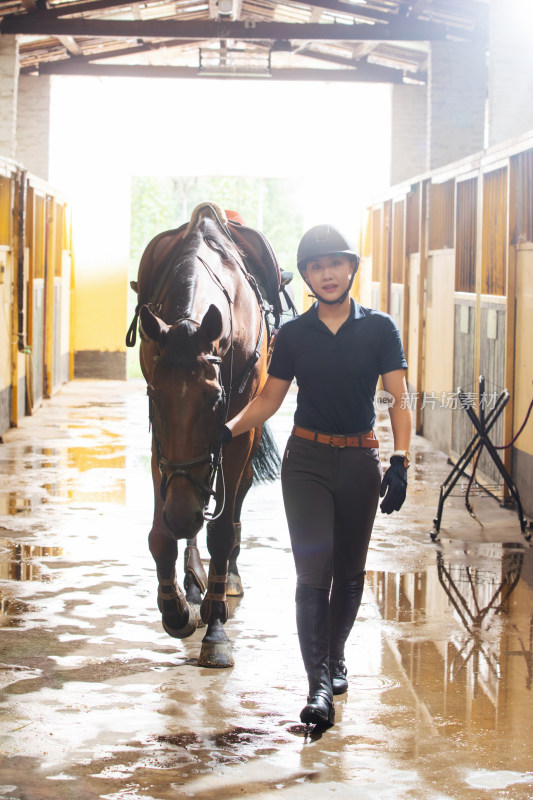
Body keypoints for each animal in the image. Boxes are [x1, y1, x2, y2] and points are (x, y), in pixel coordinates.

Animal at [128, 203, 278, 664]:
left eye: (214, 399)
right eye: (155, 398)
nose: (181, 514)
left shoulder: (237, 428)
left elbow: (222, 527)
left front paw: (215, 629)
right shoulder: (161, 439)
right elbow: (162, 533)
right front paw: (176, 608)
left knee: (233, 500)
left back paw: (224, 580)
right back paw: (193, 581)